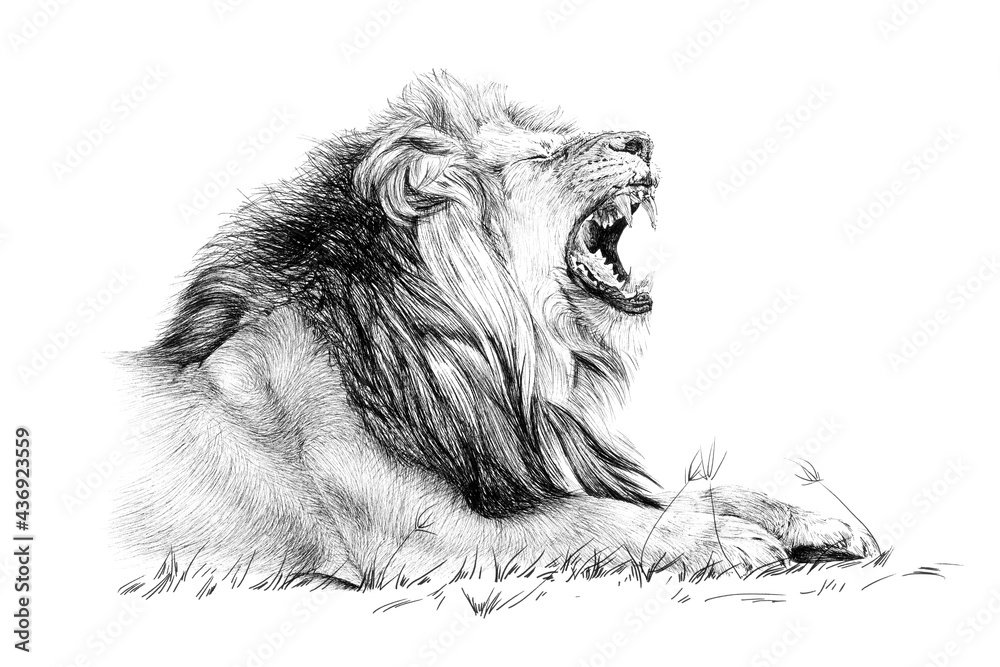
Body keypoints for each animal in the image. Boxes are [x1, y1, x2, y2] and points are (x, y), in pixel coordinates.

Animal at [115, 72, 875, 589]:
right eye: (541, 156)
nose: (643, 139)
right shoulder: (417, 542)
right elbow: (592, 520)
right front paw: (724, 542)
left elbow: (698, 489)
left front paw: (813, 518)